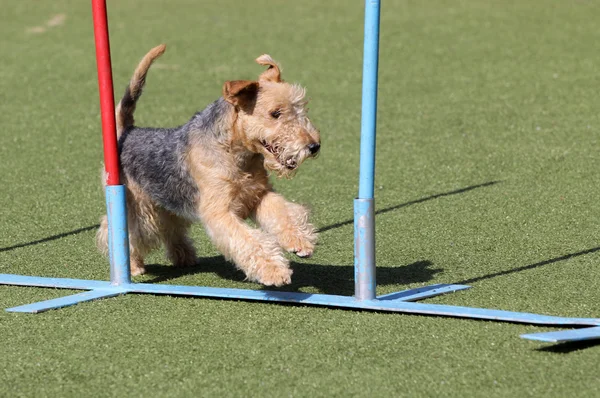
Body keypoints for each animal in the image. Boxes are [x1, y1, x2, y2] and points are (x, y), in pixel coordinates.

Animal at [98, 44, 322, 286]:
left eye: (301, 109)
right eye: (275, 113)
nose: (314, 146)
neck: (235, 153)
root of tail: (127, 131)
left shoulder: (259, 195)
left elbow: (284, 213)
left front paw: (300, 241)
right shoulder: (220, 212)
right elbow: (251, 241)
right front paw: (274, 271)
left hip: (167, 201)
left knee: (171, 229)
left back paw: (184, 257)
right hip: (138, 206)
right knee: (119, 231)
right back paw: (132, 266)